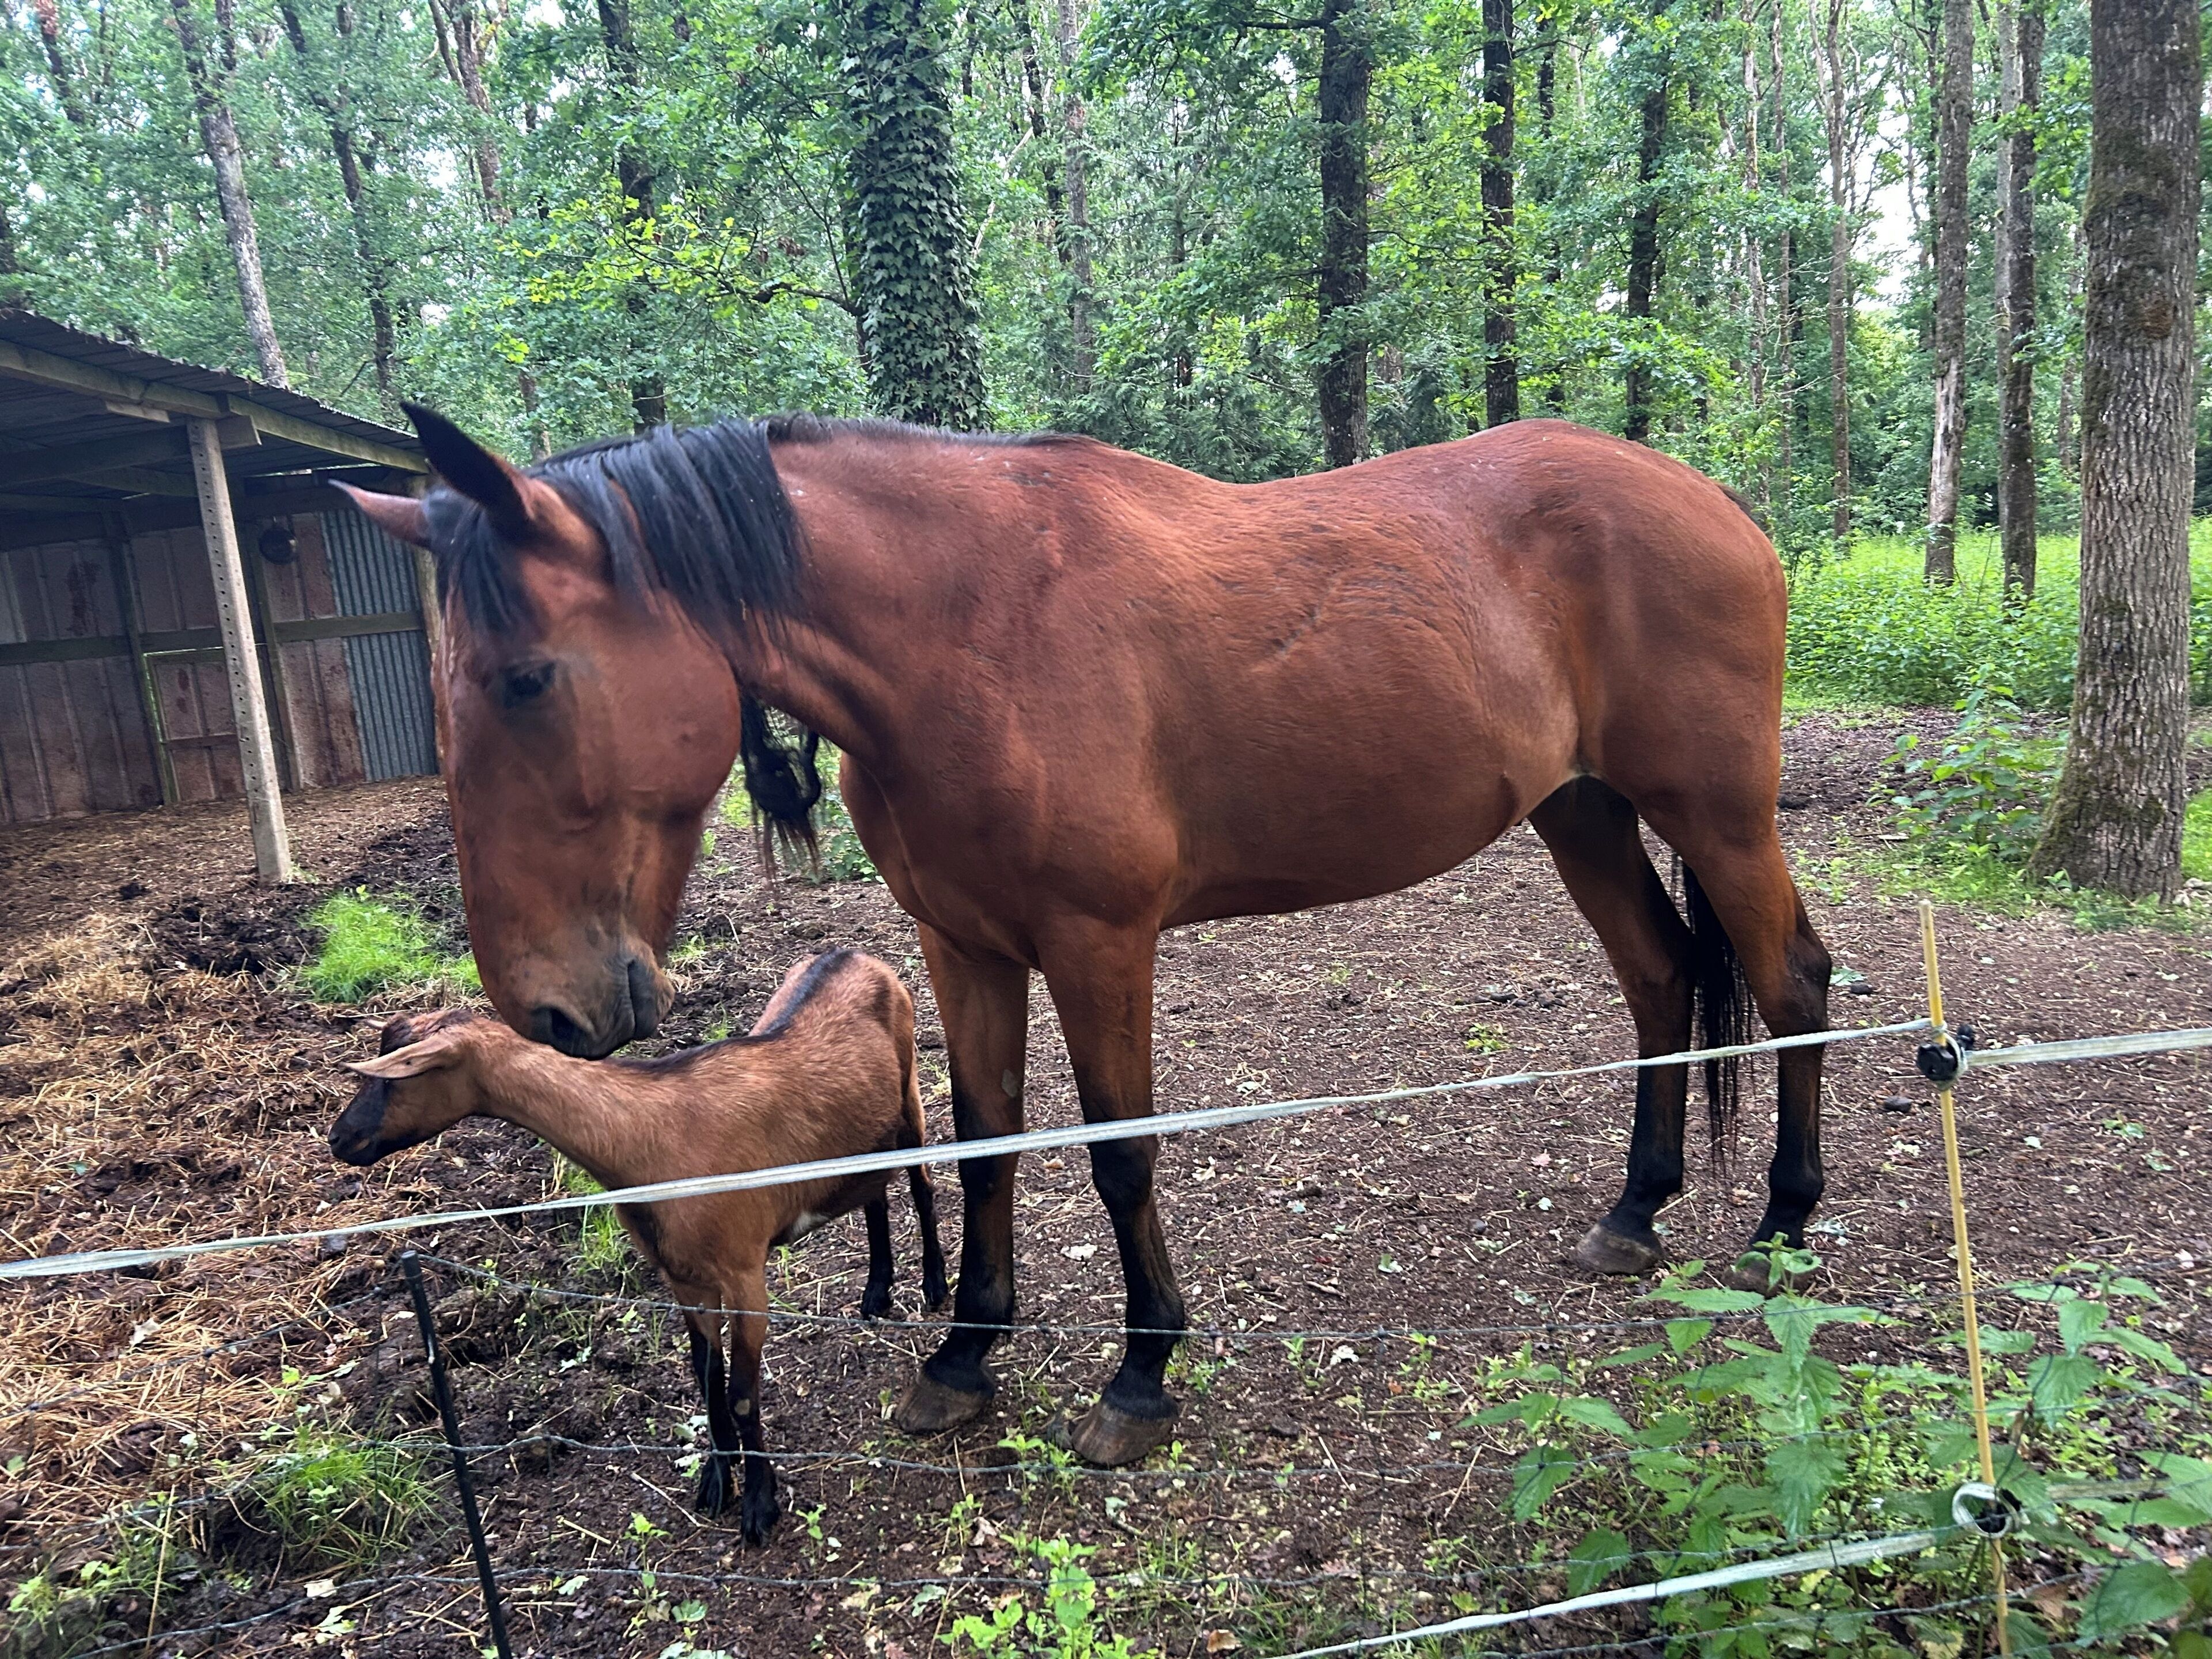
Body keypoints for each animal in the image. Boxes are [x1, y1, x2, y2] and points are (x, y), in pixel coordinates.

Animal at [340, 408, 1832, 1468]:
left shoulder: (1100, 943)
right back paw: (1633, 1212)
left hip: (1717, 816)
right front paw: (961, 1358)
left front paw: (1140, 1374)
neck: (972, 630)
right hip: (1581, 812)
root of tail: (1719, 506)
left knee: (1791, 985)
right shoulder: (965, 944)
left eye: (527, 679)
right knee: (1661, 982)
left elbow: (1118, 1151)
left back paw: (1781, 1227)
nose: (551, 1009)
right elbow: (985, 1134)